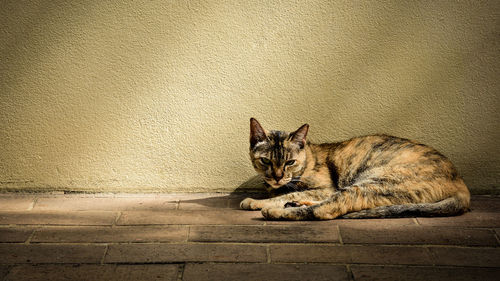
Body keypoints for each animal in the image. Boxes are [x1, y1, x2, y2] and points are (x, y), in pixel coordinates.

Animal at [240, 117, 470, 220]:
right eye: (266, 161)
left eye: (290, 162)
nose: (277, 177)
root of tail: (461, 183)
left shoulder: (325, 188)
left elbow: (289, 192)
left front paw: (257, 201)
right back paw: (292, 205)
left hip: (373, 182)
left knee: (327, 209)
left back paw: (277, 211)